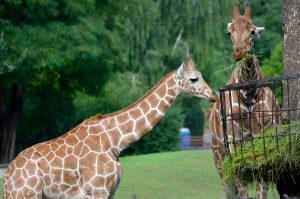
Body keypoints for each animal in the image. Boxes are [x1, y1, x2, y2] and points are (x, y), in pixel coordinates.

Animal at [3, 56, 217, 199]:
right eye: (193, 79)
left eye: (200, 75)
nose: (213, 95)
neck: (115, 141)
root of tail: (7, 177)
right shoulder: (97, 190)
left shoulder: (111, 191)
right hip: (26, 194)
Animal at [210, 3, 280, 199]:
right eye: (229, 32)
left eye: (252, 31)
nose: (240, 52)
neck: (249, 94)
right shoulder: (235, 141)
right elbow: (242, 187)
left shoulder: (262, 138)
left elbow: (261, 187)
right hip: (219, 155)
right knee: (228, 189)